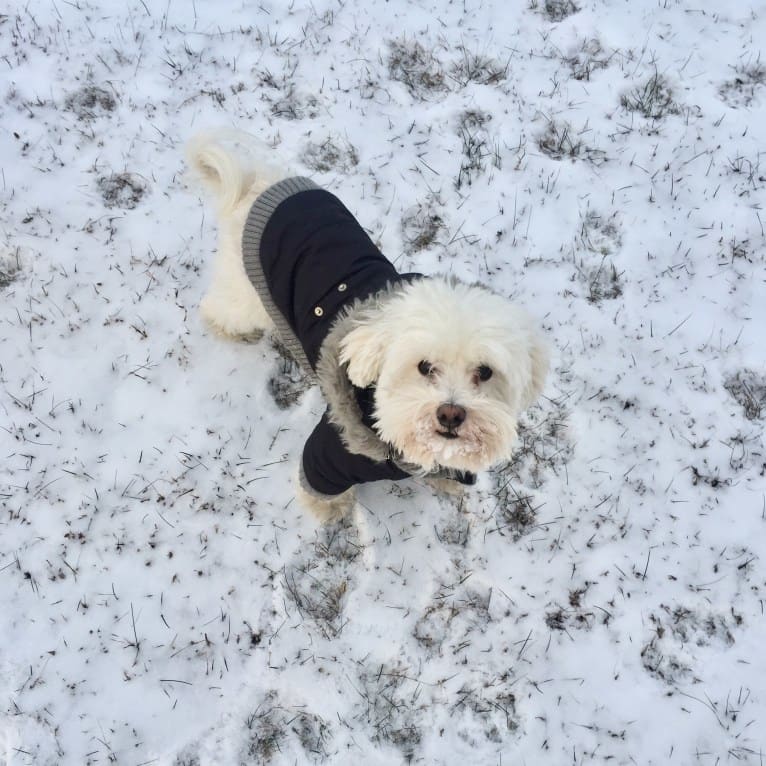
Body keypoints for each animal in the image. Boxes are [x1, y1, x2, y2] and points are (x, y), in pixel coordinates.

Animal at [186, 132, 548, 524]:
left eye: (484, 372)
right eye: (424, 367)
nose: (451, 413)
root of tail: (257, 183)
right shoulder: (327, 453)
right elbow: (319, 487)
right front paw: (329, 509)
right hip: (245, 294)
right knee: (218, 308)